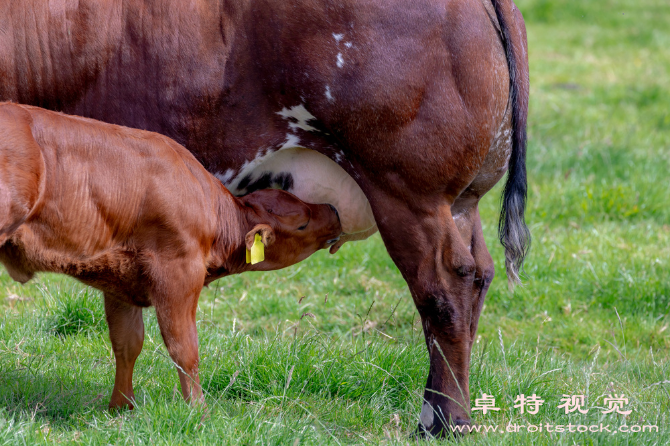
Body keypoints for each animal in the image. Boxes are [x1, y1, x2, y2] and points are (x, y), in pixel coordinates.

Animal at [0, 103, 342, 410]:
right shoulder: (179, 272)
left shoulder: (120, 278)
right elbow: (185, 349)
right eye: (302, 222)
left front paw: (121, 407)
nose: (334, 211)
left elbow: (127, 343)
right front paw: (198, 412)